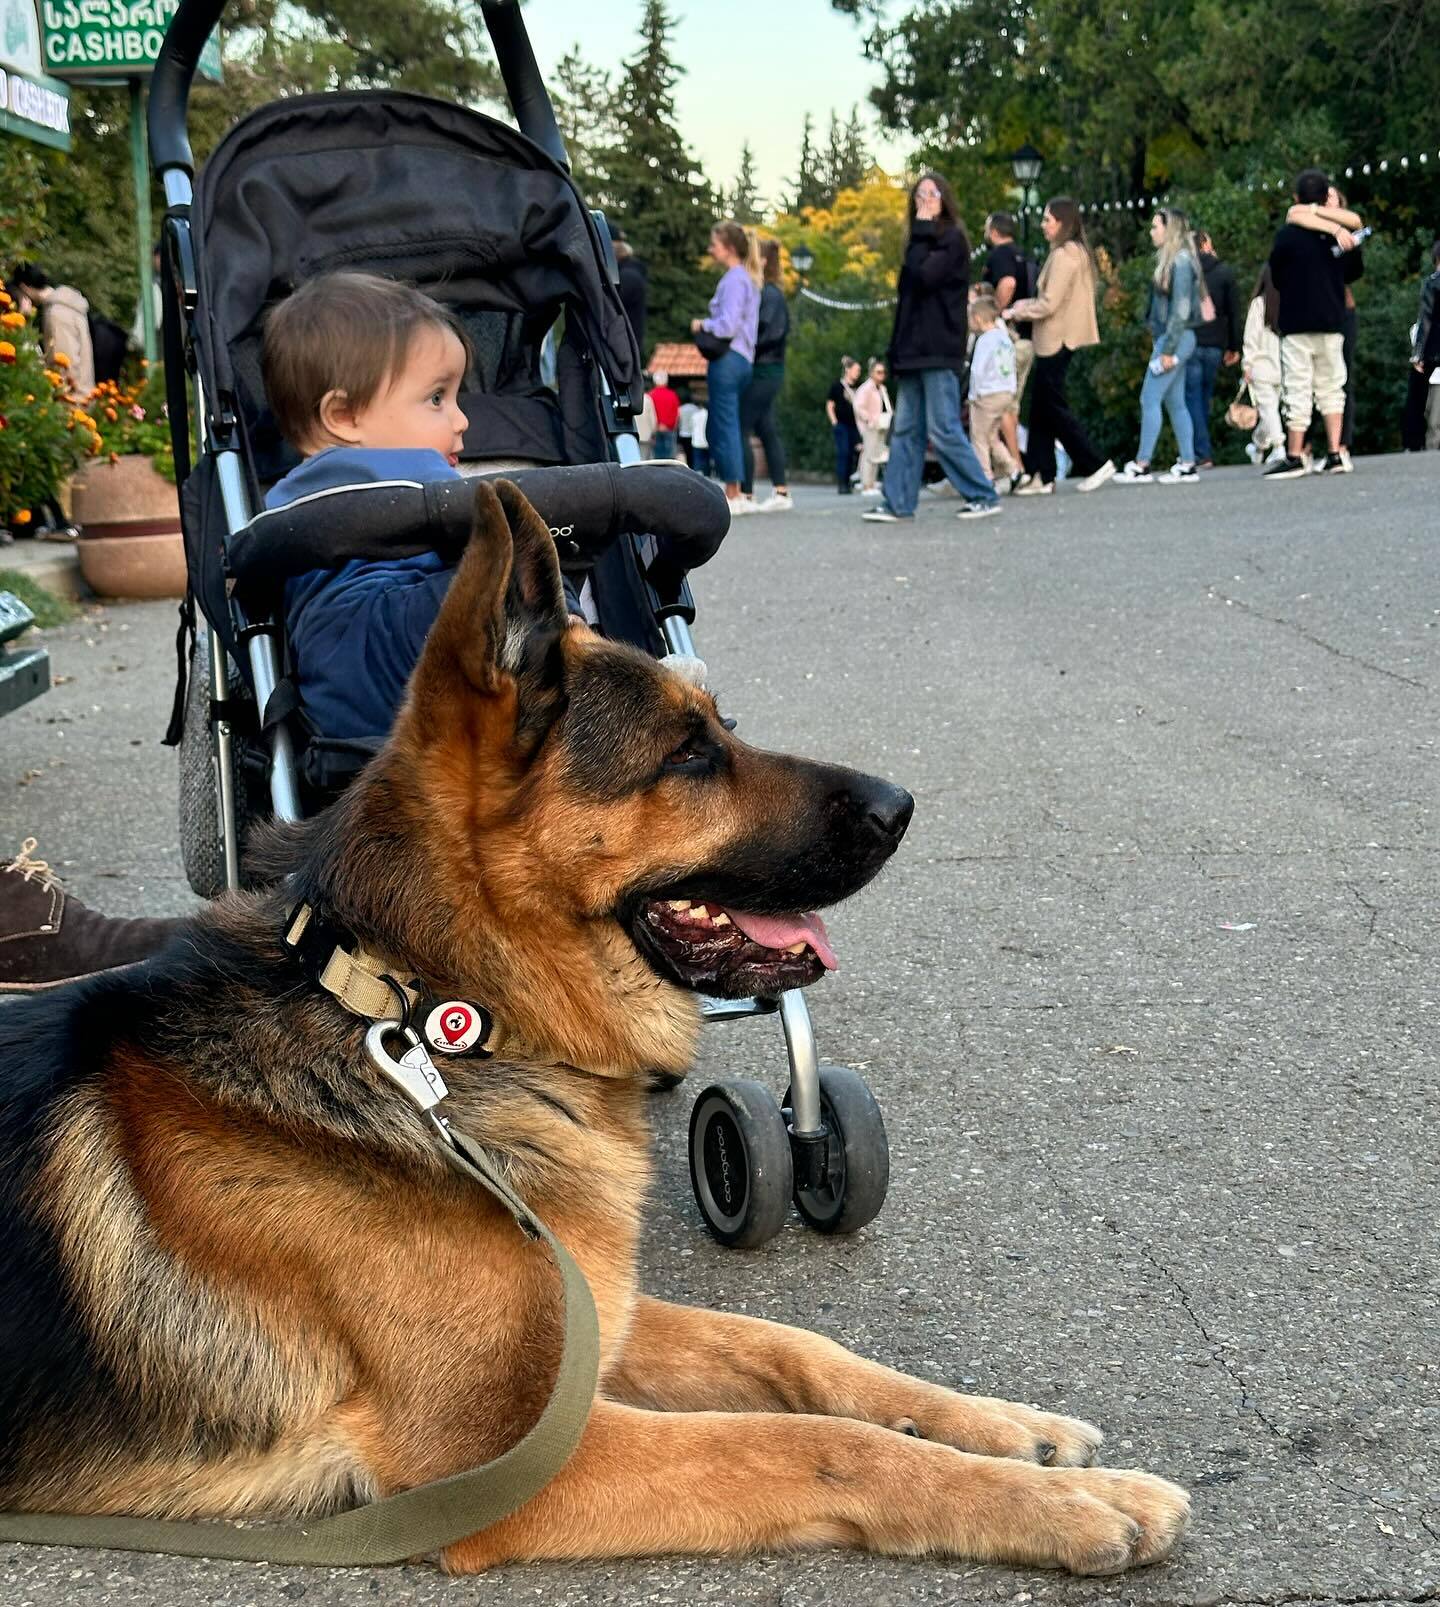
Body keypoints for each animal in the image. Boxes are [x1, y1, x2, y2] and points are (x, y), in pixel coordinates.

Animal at [2, 482, 1195, 1574]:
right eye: (687, 754)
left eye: (724, 729)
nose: (902, 805)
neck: (430, 1026)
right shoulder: (509, 1460)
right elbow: (809, 1444)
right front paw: (1064, 1503)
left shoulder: (598, 1314)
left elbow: (801, 1348)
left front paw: (1006, 1428)